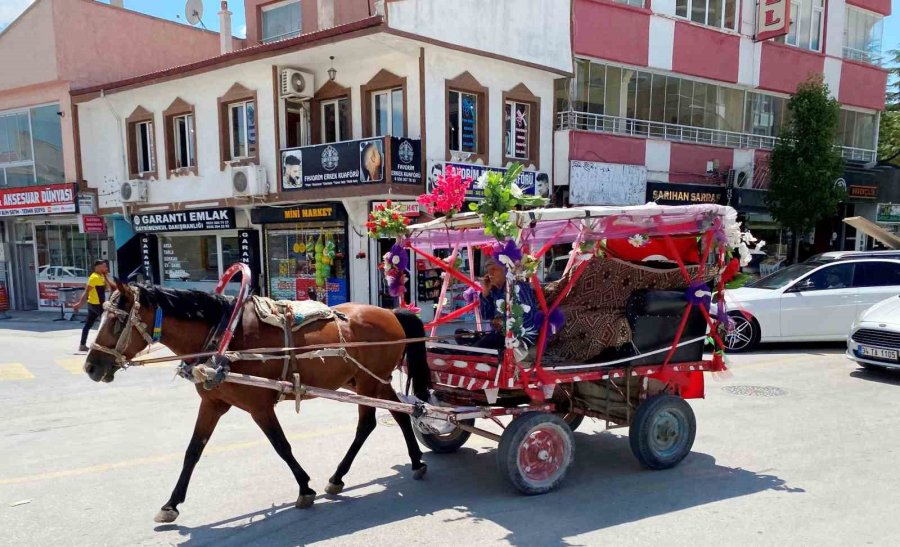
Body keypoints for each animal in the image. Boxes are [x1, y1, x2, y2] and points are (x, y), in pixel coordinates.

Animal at [84, 282, 432, 524]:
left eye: (116, 322)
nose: (90, 367)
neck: (225, 336)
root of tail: (391, 312)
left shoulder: (259, 407)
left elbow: (281, 446)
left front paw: (305, 489)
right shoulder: (213, 403)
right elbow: (193, 451)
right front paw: (171, 504)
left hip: (370, 380)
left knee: (369, 423)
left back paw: (343, 475)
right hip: (369, 380)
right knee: (400, 416)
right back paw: (411, 463)